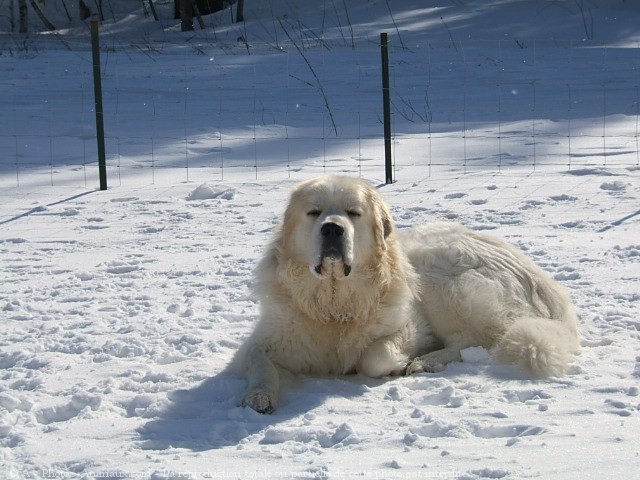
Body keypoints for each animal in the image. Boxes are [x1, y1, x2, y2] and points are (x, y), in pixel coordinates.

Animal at [226, 175, 580, 412]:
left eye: (353, 213)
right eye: (314, 212)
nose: (332, 229)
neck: (334, 304)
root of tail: (547, 285)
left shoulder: (413, 328)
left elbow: (375, 355)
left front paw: (398, 363)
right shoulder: (264, 342)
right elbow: (260, 364)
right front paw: (258, 396)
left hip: (440, 275)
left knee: (480, 339)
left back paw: (426, 361)